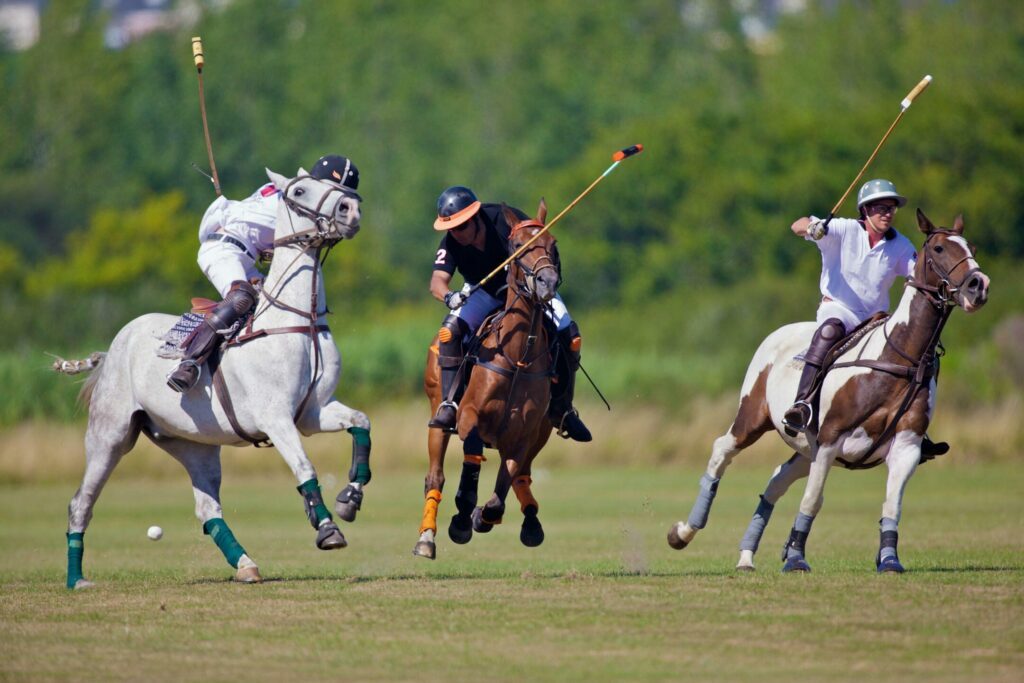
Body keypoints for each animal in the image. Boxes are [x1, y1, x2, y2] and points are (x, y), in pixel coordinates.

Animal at [56, 167, 372, 589]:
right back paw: (77, 579)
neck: (296, 321)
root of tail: (112, 349)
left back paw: (246, 565)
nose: (350, 209)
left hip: (194, 444)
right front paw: (327, 529)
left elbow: (361, 422)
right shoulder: (276, 418)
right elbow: (305, 468)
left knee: (208, 509)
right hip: (110, 434)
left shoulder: (312, 413)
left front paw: (350, 498)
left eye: (344, 188)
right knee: (81, 501)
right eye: (301, 190)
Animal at [413, 201, 557, 561]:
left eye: (553, 245)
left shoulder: (524, 433)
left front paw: (483, 516)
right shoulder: (469, 416)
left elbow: (504, 484)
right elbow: (472, 457)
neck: (517, 357)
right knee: (434, 476)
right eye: (516, 246)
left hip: (544, 431)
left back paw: (530, 524)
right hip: (437, 416)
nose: (548, 282)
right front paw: (462, 518)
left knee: (523, 475)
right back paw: (426, 538)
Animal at [667, 210, 987, 573]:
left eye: (972, 247)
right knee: (722, 449)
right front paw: (795, 558)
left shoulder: (906, 445)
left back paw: (746, 557)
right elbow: (813, 499)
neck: (899, 357)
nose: (979, 285)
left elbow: (892, 504)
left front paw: (889, 559)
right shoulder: (832, 437)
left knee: (776, 480)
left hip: (806, 447)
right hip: (754, 417)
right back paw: (684, 532)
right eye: (938, 248)